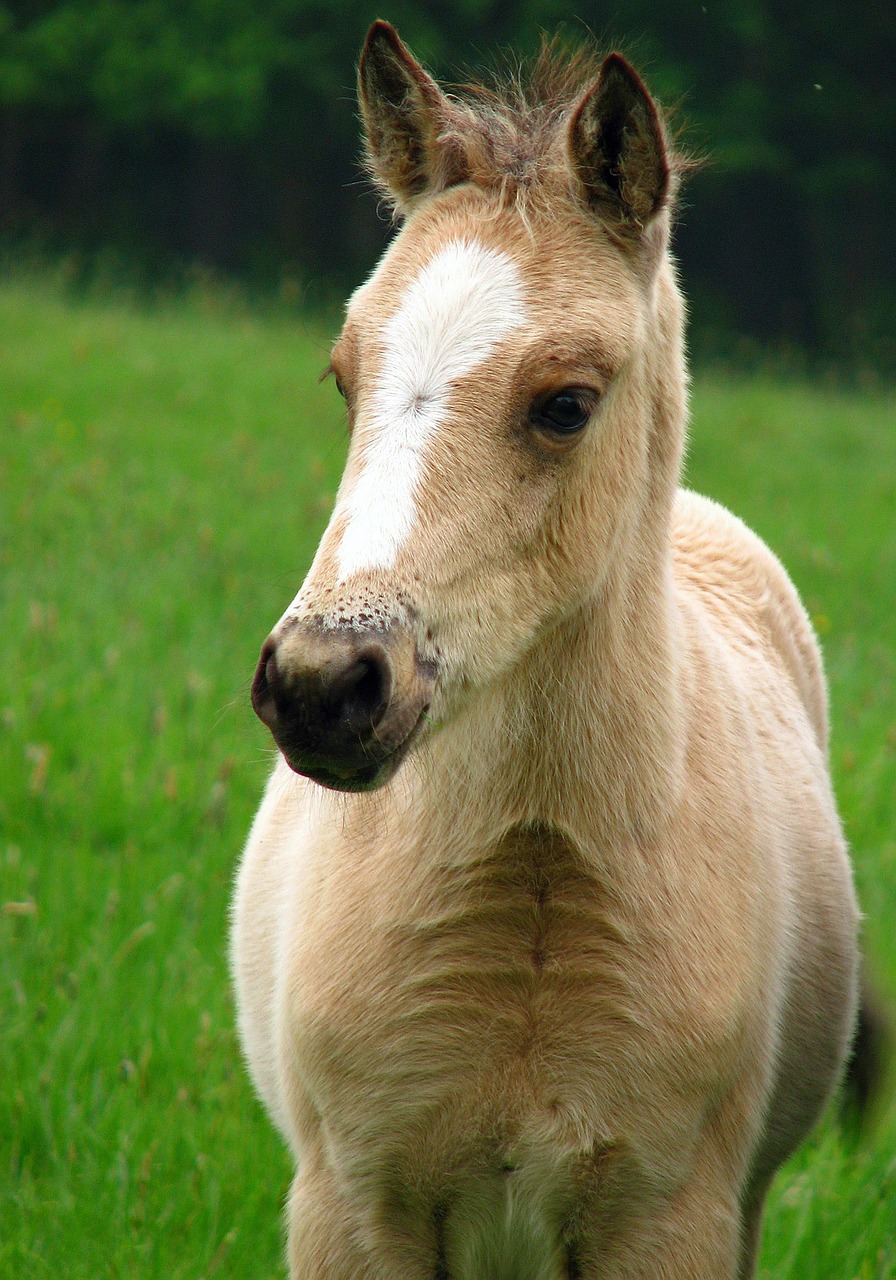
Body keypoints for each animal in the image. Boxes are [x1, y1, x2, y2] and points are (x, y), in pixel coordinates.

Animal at [230, 22, 860, 1280]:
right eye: (342, 377)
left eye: (565, 402)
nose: (321, 687)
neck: (527, 866)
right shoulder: (348, 1210)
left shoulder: (669, 1218)